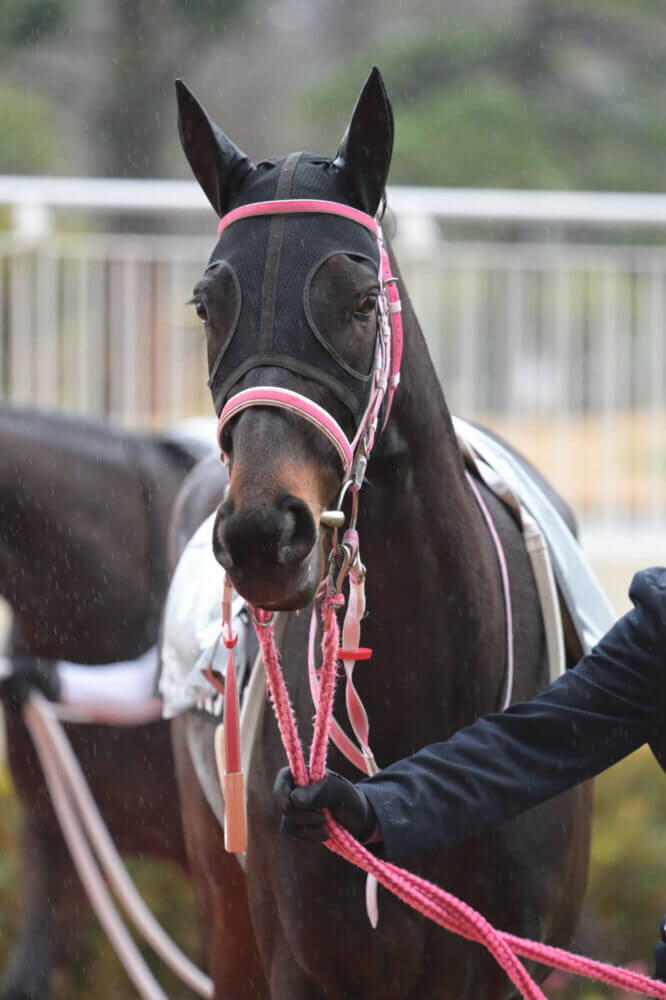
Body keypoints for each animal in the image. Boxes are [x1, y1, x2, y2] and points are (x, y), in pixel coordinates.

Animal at [170, 66, 592, 996]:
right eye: (206, 303)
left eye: (360, 300)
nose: (263, 533)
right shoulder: (300, 960)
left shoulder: (514, 956)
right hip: (224, 911)